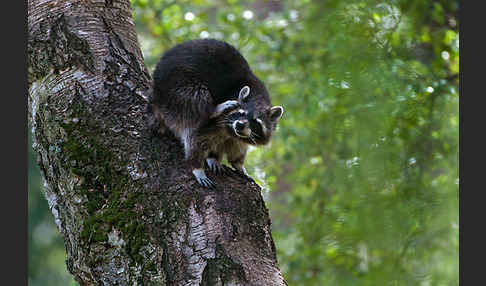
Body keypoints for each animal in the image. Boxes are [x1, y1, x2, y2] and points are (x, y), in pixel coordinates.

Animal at [150, 39, 282, 189]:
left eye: (255, 121)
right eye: (241, 113)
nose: (240, 125)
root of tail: (156, 92)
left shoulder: (242, 134)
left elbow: (238, 146)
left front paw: (237, 163)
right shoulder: (217, 122)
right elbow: (196, 136)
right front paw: (197, 166)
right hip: (176, 85)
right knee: (196, 99)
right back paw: (213, 110)